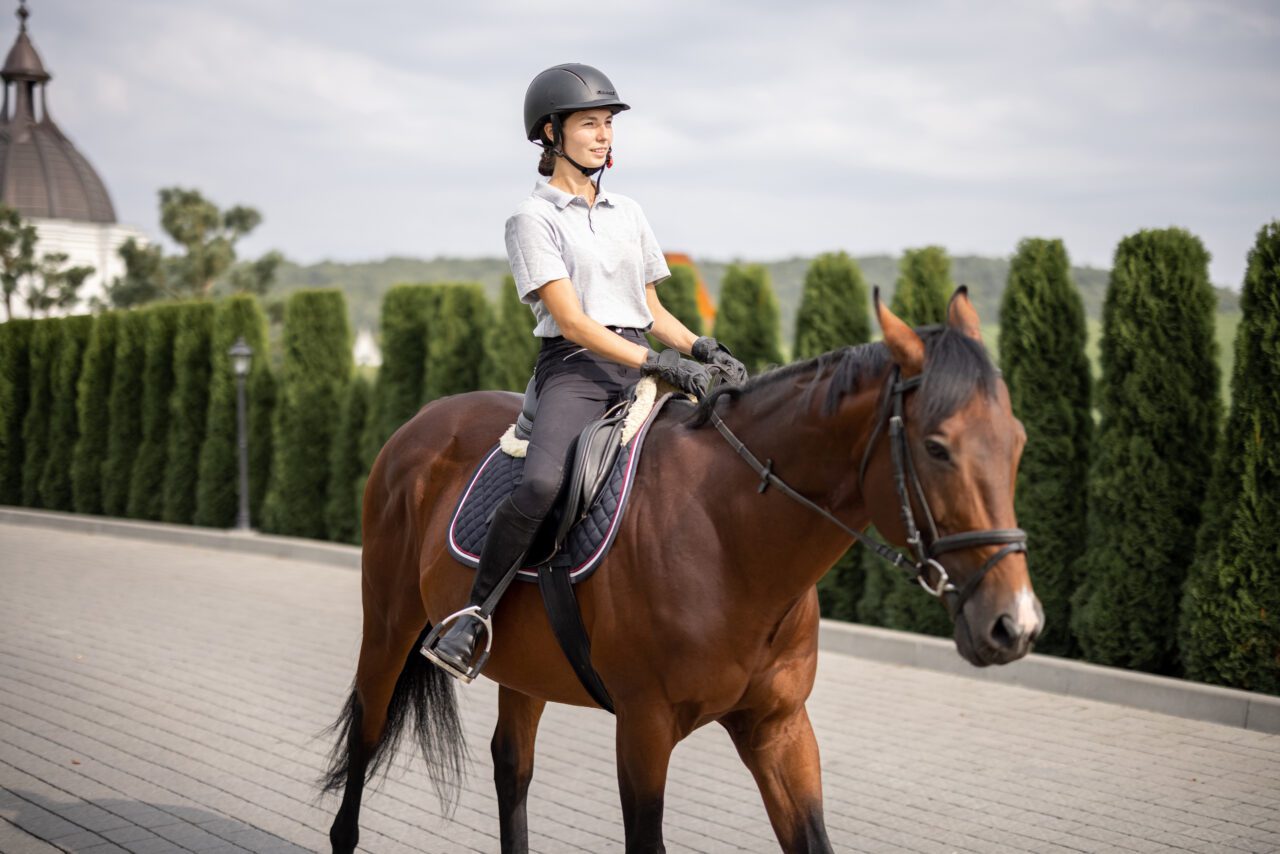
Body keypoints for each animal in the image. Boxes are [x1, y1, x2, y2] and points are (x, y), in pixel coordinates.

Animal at [321, 288, 1043, 853]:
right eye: (937, 448)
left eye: (1017, 441)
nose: (1015, 625)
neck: (728, 538)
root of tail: (420, 422)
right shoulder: (643, 729)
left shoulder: (780, 728)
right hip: (389, 626)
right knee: (367, 736)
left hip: (523, 664)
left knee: (511, 768)